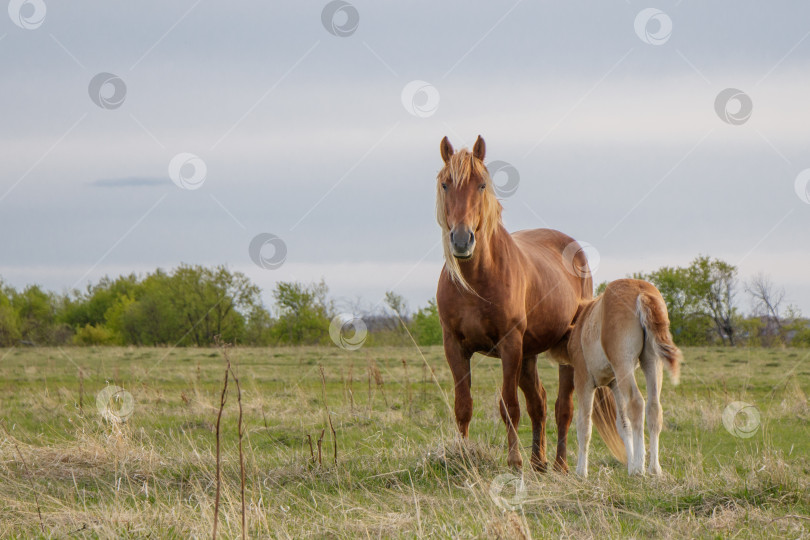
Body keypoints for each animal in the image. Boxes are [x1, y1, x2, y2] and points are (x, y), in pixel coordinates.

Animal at [436, 136, 620, 472]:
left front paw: (514, 460)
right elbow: (463, 405)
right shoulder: (454, 346)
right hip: (529, 355)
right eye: (445, 184)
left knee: (563, 407)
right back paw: (538, 460)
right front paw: (464, 456)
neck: (475, 281)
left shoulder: (510, 345)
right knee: (539, 403)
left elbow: (508, 405)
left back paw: (559, 464)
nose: (462, 240)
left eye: (481, 185)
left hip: (561, 352)